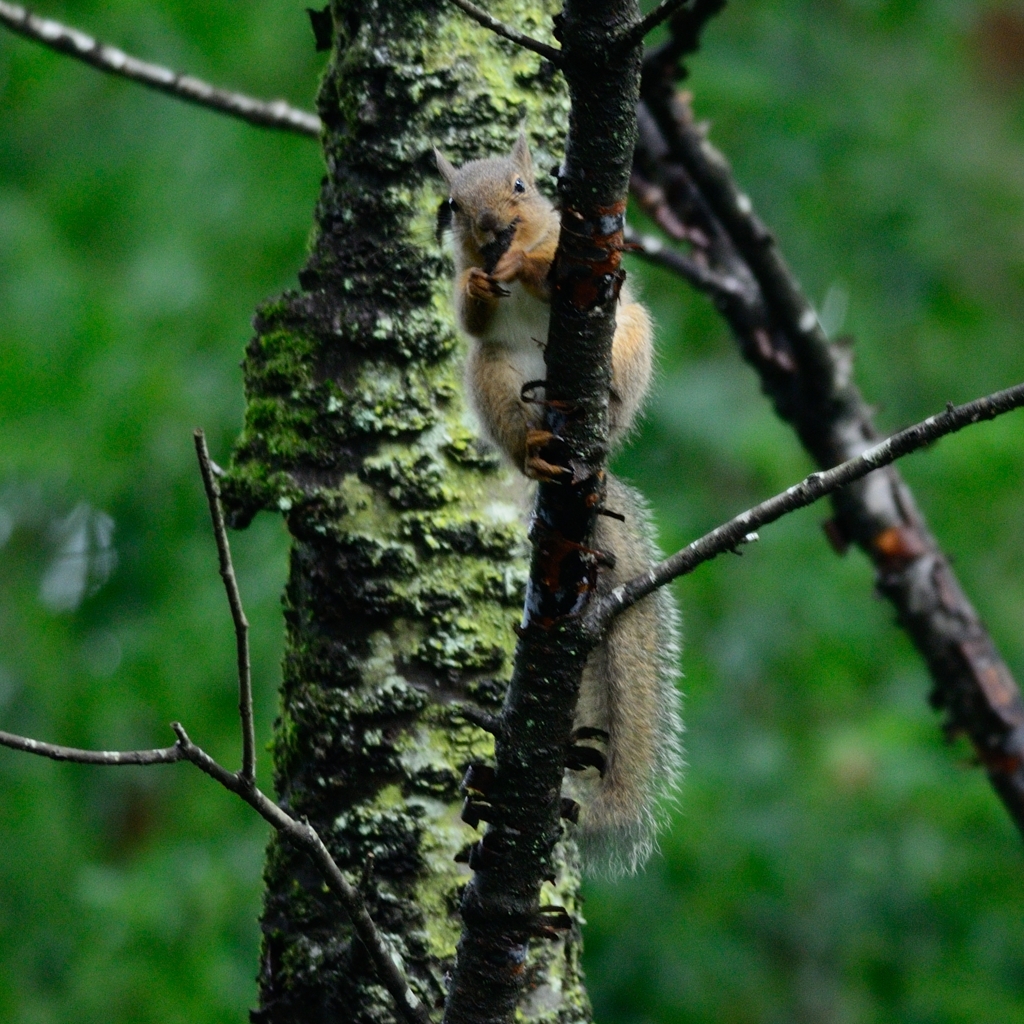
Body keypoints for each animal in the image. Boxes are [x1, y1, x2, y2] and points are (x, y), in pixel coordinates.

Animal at [436, 132, 684, 876]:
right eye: (452, 204)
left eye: (521, 186)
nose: (492, 230)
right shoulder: (472, 302)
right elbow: (470, 315)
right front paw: (477, 282)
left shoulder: (580, 261)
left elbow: (555, 268)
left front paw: (524, 259)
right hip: (493, 377)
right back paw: (538, 451)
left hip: (629, 336)